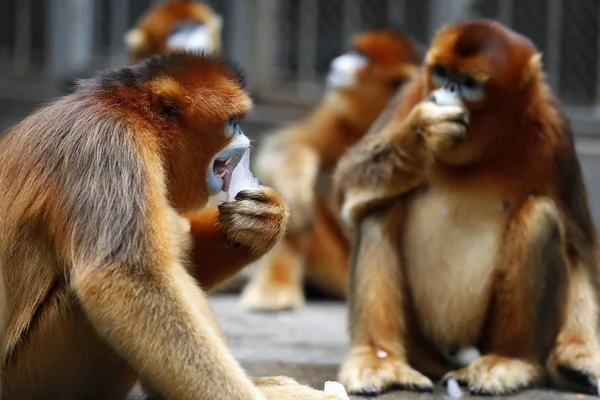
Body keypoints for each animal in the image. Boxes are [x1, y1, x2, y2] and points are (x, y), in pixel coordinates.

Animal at [0, 52, 338, 400]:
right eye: (232, 120)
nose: (244, 135)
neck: (127, 109)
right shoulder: (109, 145)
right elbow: (126, 275)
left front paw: (264, 222)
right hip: (31, 377)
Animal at [241, 29, 420, 310]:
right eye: (354, 50)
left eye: (361, 56)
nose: (336, 63)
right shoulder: (339, 109)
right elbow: (293, 142)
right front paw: (295, 195)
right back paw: (275, 288)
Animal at [332, 19, 600, 396]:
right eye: (443, 72)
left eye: (470, 83)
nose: (449, 89)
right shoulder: (412, 93)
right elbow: (344, 190)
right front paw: (419, 134)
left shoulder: (555, 132)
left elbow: (579, 251)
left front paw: (581, 357)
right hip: (419, 344)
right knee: (379, 208)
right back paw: (379, 359)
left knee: (541, 215)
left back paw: (508, 360)